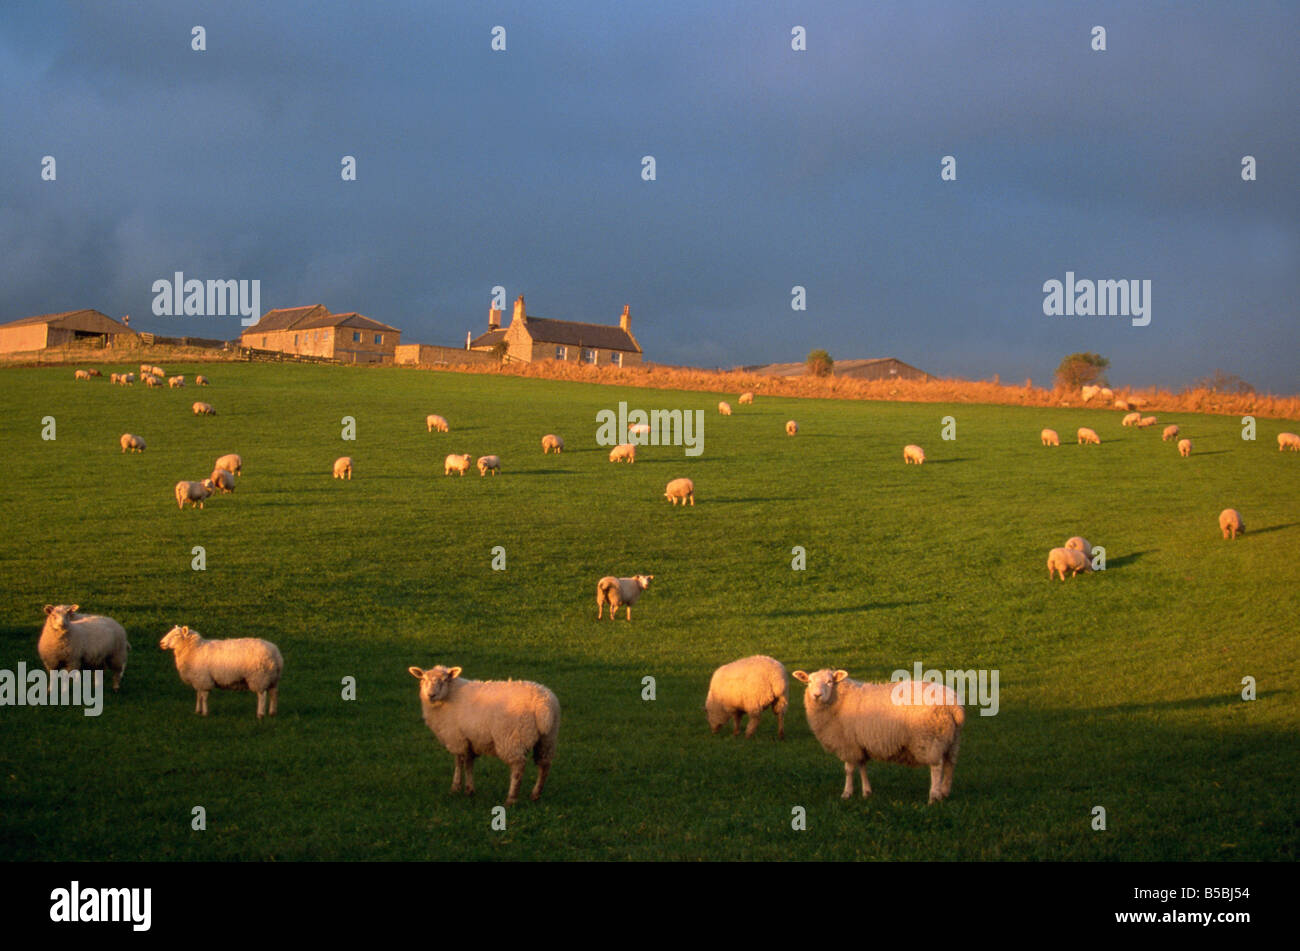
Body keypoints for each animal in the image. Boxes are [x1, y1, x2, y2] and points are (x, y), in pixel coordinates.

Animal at [405, 665, 559, 805]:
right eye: (423, 679)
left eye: (444, 680)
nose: (431, 695)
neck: (451, 694)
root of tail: (543, 704)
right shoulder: (469, 739)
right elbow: (468, 763)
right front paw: (468, 789)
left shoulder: (456, 737)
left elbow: (459, 762)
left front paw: (456, 788)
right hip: (548, 738)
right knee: (544, 765)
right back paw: (535, 794)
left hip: (511, 737)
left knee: (518, 767)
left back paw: (511, 799)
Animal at [790, 670, 967, 800]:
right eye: (809, 682)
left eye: (829, 682)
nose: (817, 695)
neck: (839, 699)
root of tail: (954, 706)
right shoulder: (859, 743)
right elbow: (862, 766)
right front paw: (866, 792)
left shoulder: (847, 743)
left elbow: (848, 769)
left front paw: (846, 793)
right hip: (951, 739)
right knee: (950, 764)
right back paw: (944, 792)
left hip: (930, 738)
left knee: (936, 767)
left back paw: (934, 796)